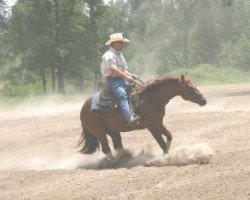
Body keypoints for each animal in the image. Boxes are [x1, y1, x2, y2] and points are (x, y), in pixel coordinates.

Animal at [78, 74, 207, 159]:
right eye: (190, 88)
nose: (204, 100)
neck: (151, 99)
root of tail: (83, 107)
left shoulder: (158, 122)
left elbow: (169, 136)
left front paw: (167, 151)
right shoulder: (152, 126)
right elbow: (161, 142)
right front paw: (166, 157)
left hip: (112, 130)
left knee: (117, 145)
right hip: (99, 131)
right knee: (106, 149)